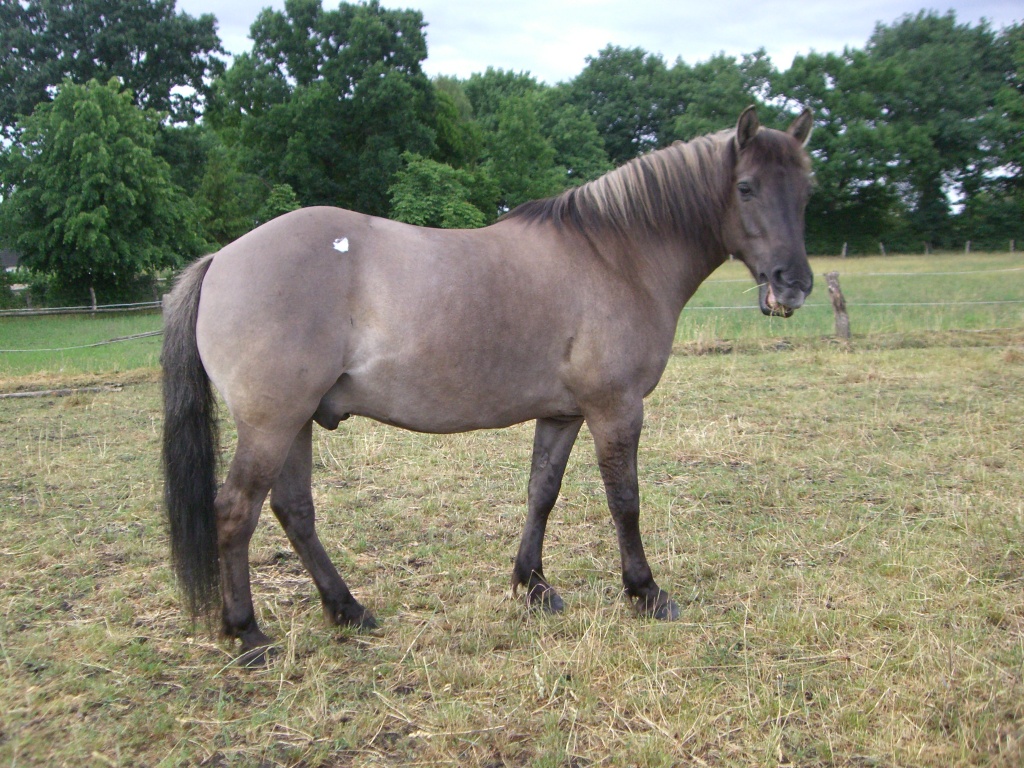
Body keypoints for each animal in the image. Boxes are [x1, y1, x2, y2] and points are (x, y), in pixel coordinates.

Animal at [162, 106, 814, 661]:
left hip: (297, 422)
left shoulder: (563, 413)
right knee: (235, 512)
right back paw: (249, 634)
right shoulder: (615, 409)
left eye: (806, 190)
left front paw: (533, 586)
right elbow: (624, 501)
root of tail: (221, 260)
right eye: (747, 187)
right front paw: (645, 592)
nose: (794, 283)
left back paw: (347, 610)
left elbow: (541, 493)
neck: (614, 256)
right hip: (271, 424)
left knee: (293, 511)